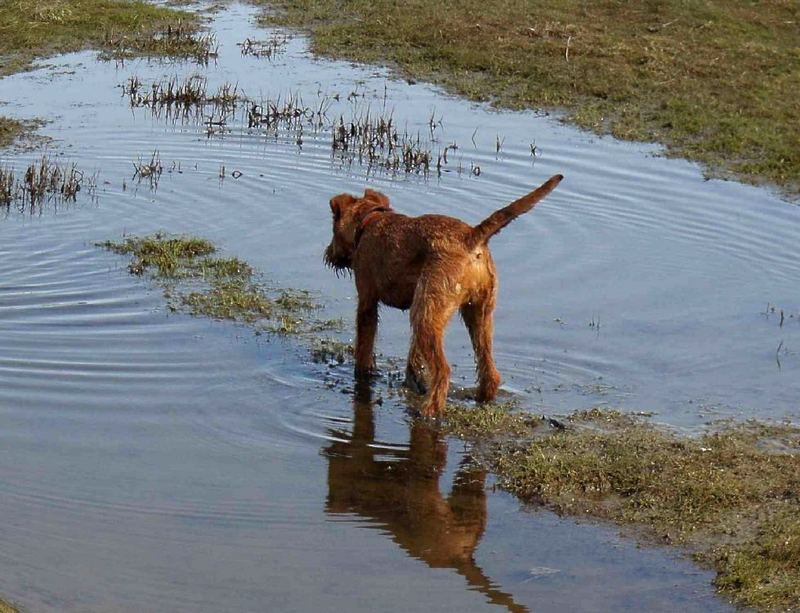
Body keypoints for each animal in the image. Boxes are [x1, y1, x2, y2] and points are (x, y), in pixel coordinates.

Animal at [324, 176, 564, 416]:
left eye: (333, 229)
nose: (328, 253)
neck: (368, 222)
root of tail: (471, 238)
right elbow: (414, 355)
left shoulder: (367, 301)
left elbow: (364, 346)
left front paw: (363, 374)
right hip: (475, 313)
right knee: (489, 370)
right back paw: (480, 397)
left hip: (427, 316)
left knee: (444, 371)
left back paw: (429, 410)